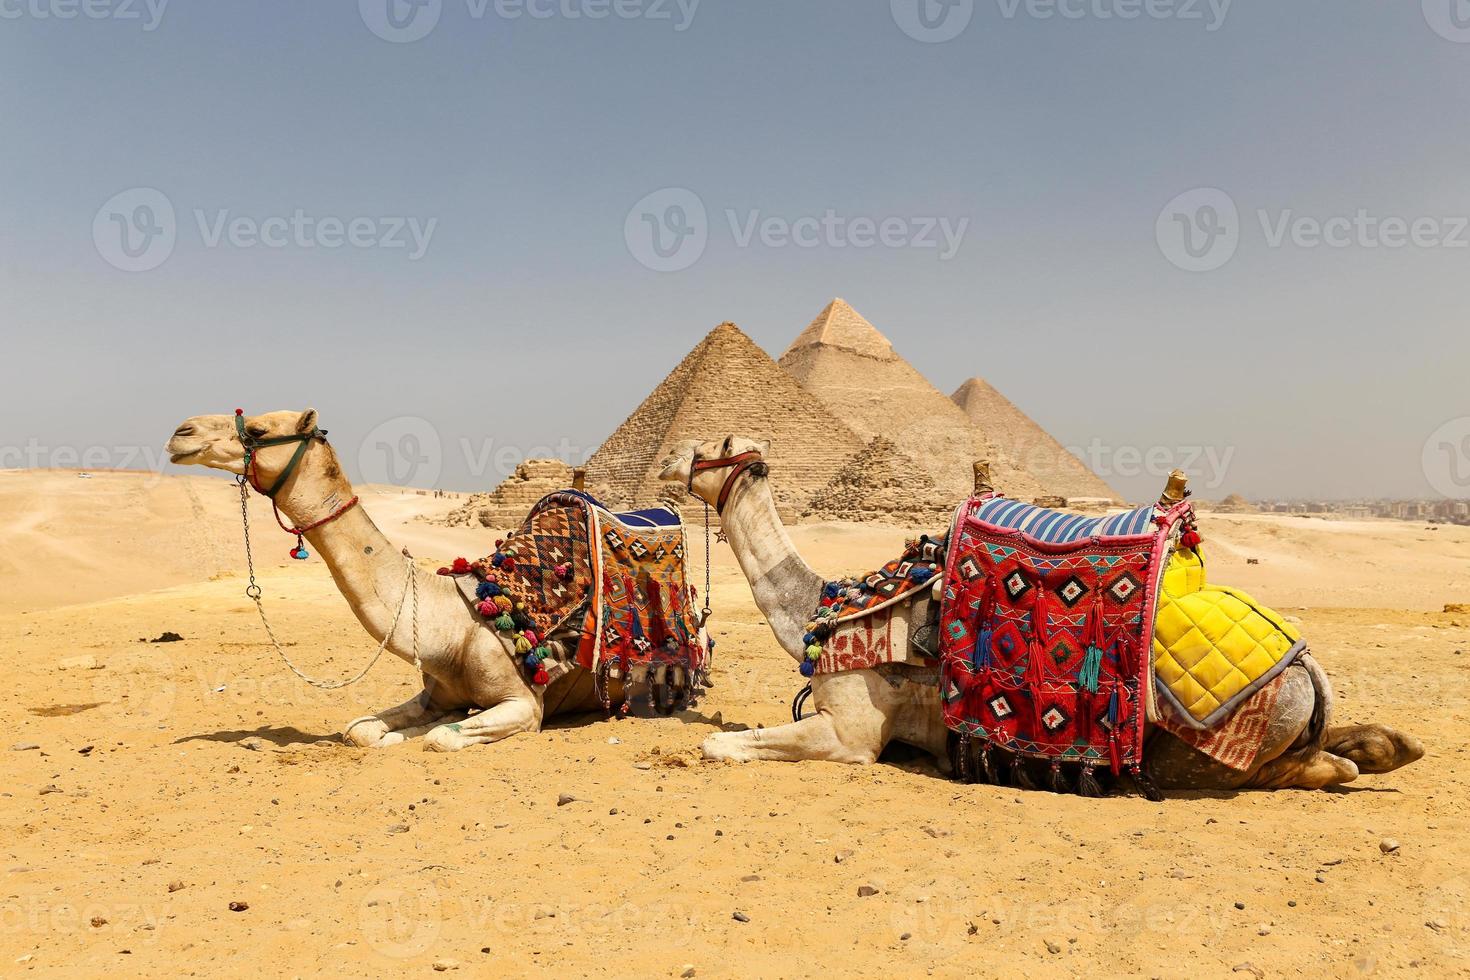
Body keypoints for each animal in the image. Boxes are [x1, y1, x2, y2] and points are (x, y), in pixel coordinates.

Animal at [163, 405, 664, 752]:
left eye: (260, 430)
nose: (180, 432)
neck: (454, 623)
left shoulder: (524, 705)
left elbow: (441, 737)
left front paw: (413, 737)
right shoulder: (436, 694)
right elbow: (362, 729)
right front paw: (390, 735)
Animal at [664, 437, 1422, 787]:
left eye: (701, 447)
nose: (666, 464)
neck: (826, 610)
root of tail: (1305, 667)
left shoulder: (853, 735)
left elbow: (716, 744)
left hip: (1206, 754)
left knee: (1321, 770)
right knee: (1352, 748)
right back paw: (1394, 746)